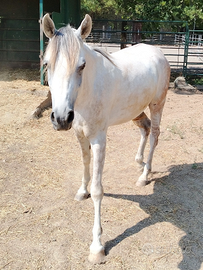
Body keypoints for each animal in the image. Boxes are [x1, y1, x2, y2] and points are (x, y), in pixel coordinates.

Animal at [42, 13, 170, 262]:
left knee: (154, 135)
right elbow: (85, 164)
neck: (87, 93)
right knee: (145, 128)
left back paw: (144, 174)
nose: (61, 118)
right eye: (46, 63)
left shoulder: (99, 140)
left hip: (157, 105)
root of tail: (158, 52)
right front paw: (82, 191)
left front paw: (97, 247)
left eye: (81, 65)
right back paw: (139, 161)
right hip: (136, 110)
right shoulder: (80, 134)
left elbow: (98, 190)